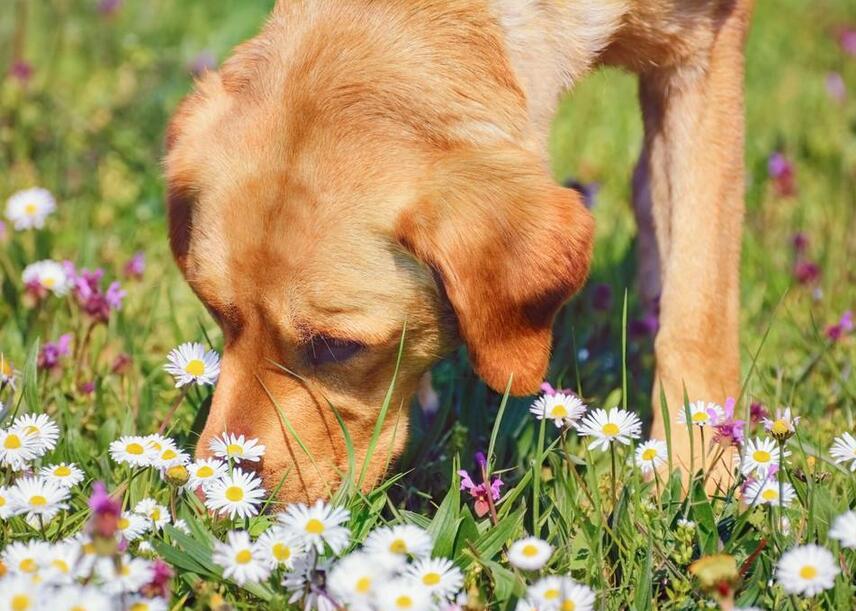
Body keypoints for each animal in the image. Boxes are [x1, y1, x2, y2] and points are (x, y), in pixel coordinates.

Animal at [164, 0, 752, 502]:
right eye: (216, 312)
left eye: (336, 347)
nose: (212, 502)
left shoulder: (704, 47)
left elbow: (698, 312)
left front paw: (697, 471)